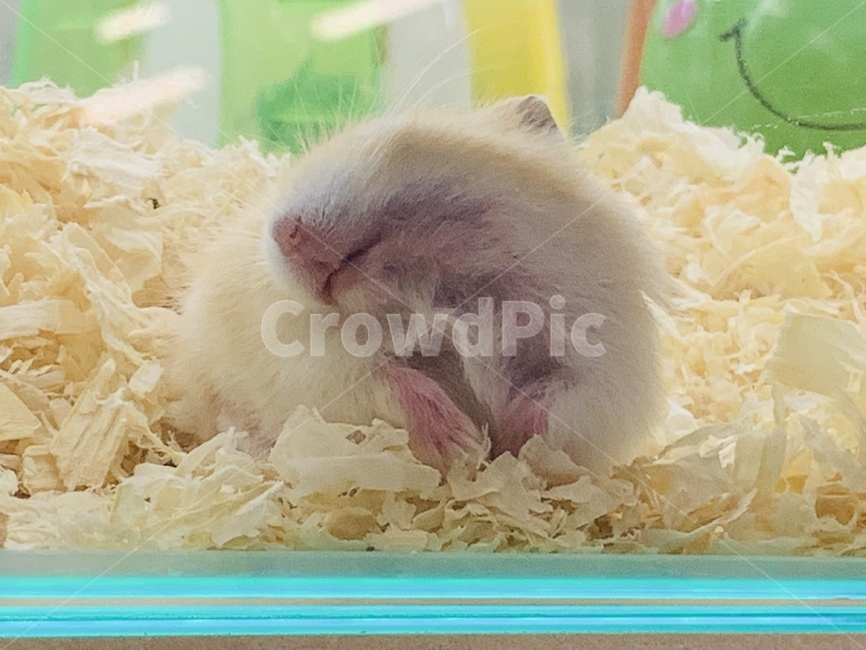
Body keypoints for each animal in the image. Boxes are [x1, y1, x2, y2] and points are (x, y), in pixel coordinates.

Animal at [170, 96, 669, 475]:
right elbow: (377, 379)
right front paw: (464, 444)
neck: (432, 289)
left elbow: (559, 409)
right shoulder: (310, 365)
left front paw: (510, 445)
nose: (282, 233)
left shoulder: (605, 367)